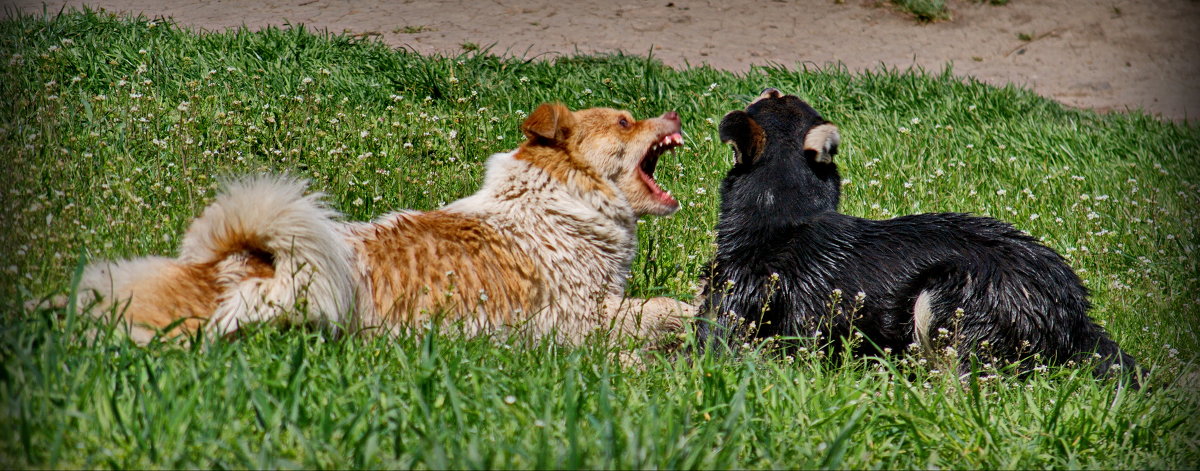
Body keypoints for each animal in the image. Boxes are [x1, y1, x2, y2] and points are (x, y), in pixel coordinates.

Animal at [700, 89, 1142, 386]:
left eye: (770, 97)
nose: (775, 86)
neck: (786, 213)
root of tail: (1074, 320)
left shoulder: (732, 310)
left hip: (948, 299)